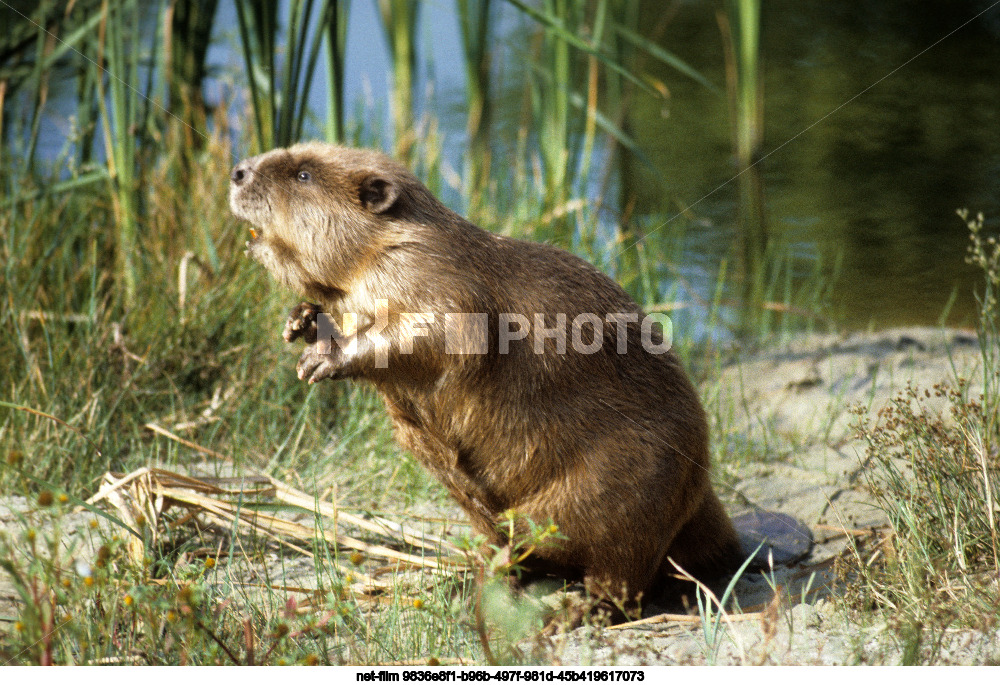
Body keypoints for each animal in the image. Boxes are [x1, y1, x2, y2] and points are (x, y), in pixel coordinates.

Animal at [229, 143, 744, 608]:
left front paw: (324, 358)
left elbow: (442, 333)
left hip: (624, 485)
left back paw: (573, 608)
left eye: (303, 174)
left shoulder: (434, 273)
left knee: (621, 576)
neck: (392, 244)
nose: (237, 171)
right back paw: (481, 577)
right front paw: (301, 321)